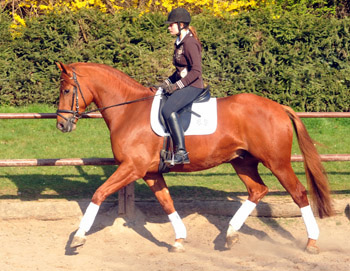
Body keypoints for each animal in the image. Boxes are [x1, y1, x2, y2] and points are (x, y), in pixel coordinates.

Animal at [56, 62, 332, 254]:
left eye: (67, 90)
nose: (61, 124)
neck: (129, 110)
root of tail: (279, 108)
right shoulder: (150, 172)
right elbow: (167, 202)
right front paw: (179, 239)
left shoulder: (132, 168)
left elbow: (99, 193)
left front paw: (78, 236)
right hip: (242, 162)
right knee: (258, 190)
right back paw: (230, 234)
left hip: (277, 163)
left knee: (299, 193)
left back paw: (312, 242)